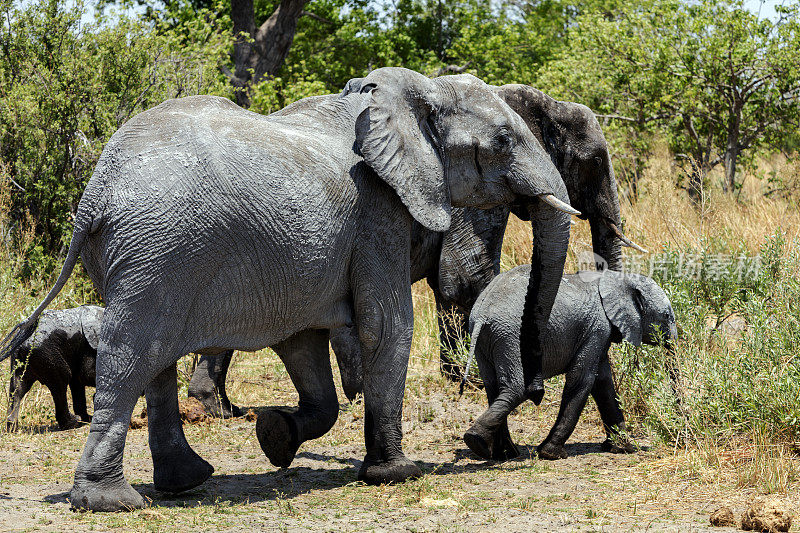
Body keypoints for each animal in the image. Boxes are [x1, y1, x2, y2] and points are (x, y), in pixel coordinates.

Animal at [0, 67, 576, 512]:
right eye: (502, 141)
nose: (535, 394)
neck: (413, 94)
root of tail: (93, 198)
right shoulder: (378, 214)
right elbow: (385, 326)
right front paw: (397, 472)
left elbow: (303, 346)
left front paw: (275, 437)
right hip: (156, 250)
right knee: (131, 355)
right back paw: (111, 502)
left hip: (145, 256)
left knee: (155, 362)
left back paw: (186, 482)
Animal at [189, 83, 644, 414]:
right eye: (594, 161)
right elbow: (466, 276)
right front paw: (472, 382)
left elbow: (452, 284)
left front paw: (458, 377)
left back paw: (217, 408)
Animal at [462, 268, 676, 460]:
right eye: (667, 316)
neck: (619, 278)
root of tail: (482, 314)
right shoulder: (597, 327)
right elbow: (583, 378)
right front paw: (551, 454)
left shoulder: (597, 332)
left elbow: (603, 384)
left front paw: (622, 448)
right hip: (513, 336)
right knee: (517, 388)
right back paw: (479, 443)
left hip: (489, 339)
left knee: (493, 388)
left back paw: (498, 452)